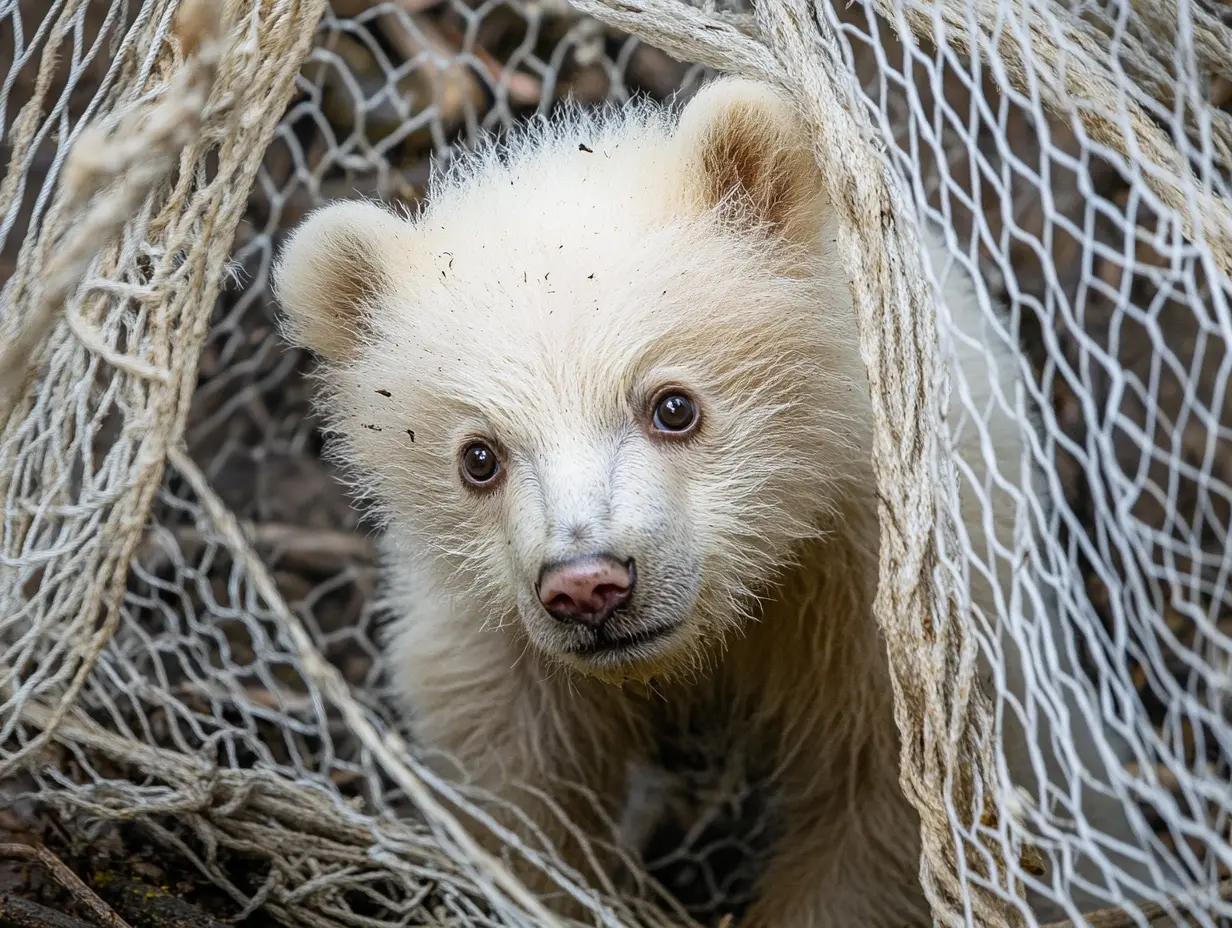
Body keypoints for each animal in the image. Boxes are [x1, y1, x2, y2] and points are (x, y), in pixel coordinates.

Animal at [273, 77, 1160, 926]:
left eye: (673, 405)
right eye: (479, 457)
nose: (588, 586)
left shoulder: (884, 601)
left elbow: (890, 816)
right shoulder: (496, 651)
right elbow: (528, 802)